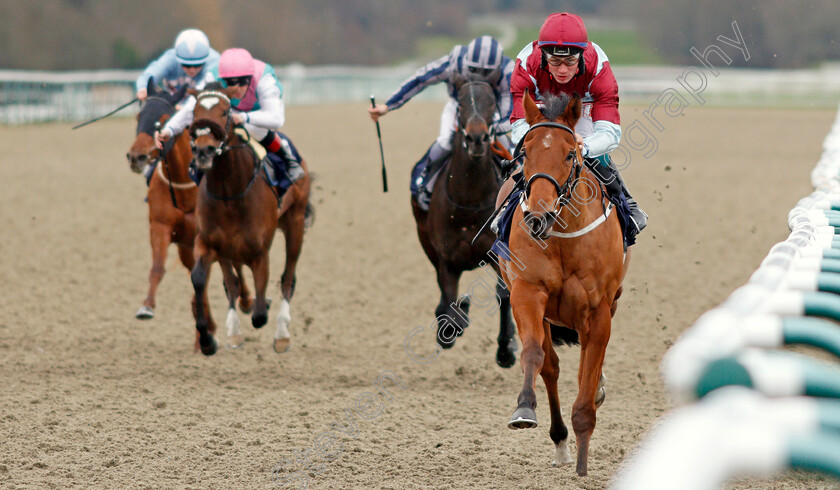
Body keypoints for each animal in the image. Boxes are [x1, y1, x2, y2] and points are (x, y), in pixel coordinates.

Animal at [125, 80, 253, 326]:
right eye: (138, 116)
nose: (137, 156)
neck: (183, 190)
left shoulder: (203, 236)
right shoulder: (161, 226)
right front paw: (147, 306)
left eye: (164, 118)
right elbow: (158, 267)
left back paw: (245, 300)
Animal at [188, 83, 312, 352]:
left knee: (288, 278)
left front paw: (262, 305)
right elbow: (201, 278)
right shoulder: (207, 242)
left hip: (295, 223)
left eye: (225, 112)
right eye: (194, 112)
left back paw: (282, 334)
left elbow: (260, 314)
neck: (229, 193)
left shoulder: (259, 253)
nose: (203, 150)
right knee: (233, 282)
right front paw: (207, 339)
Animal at [408, 74, 516, 368]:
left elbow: (505, 294)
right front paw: (454, 322)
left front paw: (506, 349)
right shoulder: (446, 258)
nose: (477, 138)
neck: (470, 199)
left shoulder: (498, 252)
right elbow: (450, 302)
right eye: (460, 106)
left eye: (491, 102)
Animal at [498, 91, 632, 474]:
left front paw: (584, 466)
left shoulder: (598, 311)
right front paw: (524, 408)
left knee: (588, 364)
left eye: (571, 153)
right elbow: (535, 354)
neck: (561, 237)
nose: (538, 217)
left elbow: (588, 378)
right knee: (552, 367)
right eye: (525, 152)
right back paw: (559, 441)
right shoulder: (527, 293)